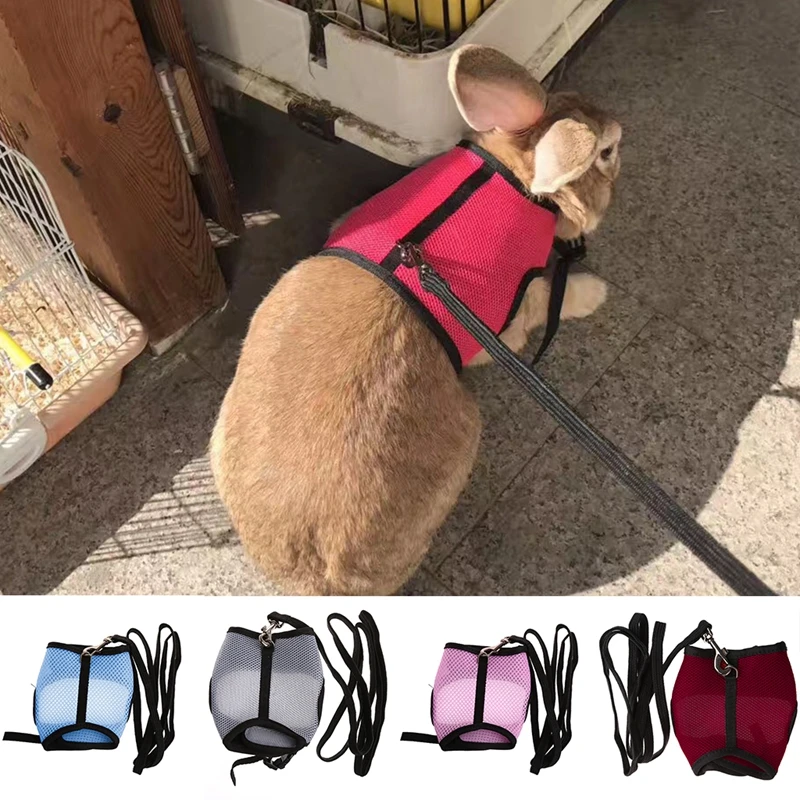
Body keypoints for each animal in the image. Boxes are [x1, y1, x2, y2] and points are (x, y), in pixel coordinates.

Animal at [210, 45, 622, 596]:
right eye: (606, 152)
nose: (620, 127)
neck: (514, 172)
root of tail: (318, 576)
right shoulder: (509, 315)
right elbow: (540, 307)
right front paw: (595, 292)